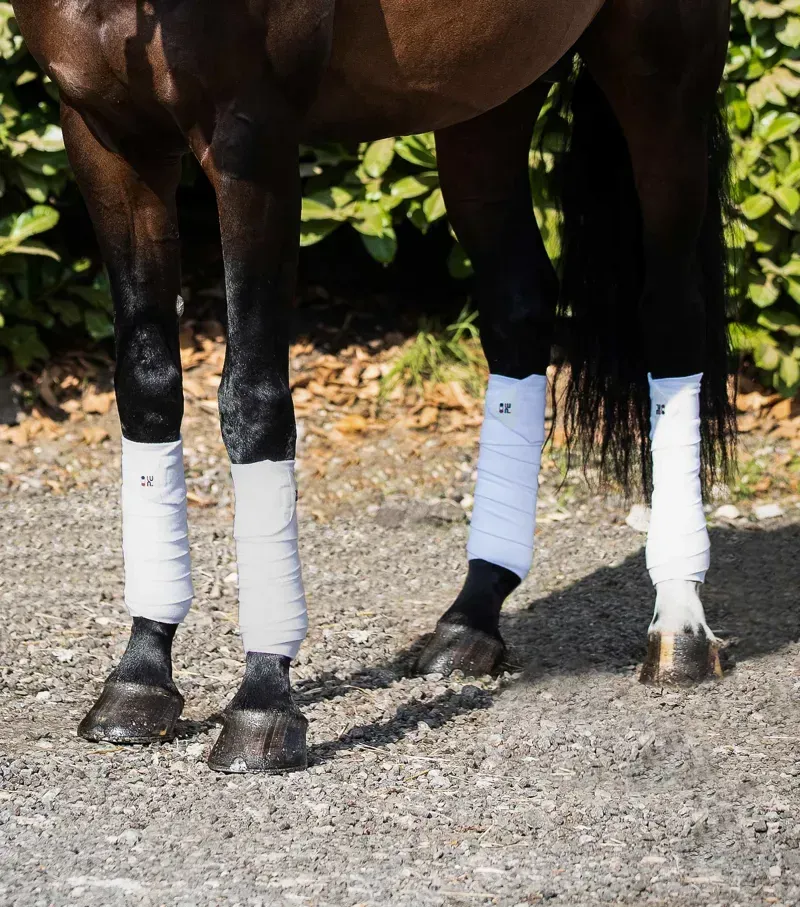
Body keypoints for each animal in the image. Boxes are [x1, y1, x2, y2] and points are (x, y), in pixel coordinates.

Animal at [9, 0, 735, 773]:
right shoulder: (105, 136)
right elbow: (147, 388)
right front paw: (140, 679)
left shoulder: (252, 141)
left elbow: (254, 400)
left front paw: (263, 704)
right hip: (486, 97)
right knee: (518, 309)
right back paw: (470, 621)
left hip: (661, 71)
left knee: (671, 316)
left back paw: (680, 629)